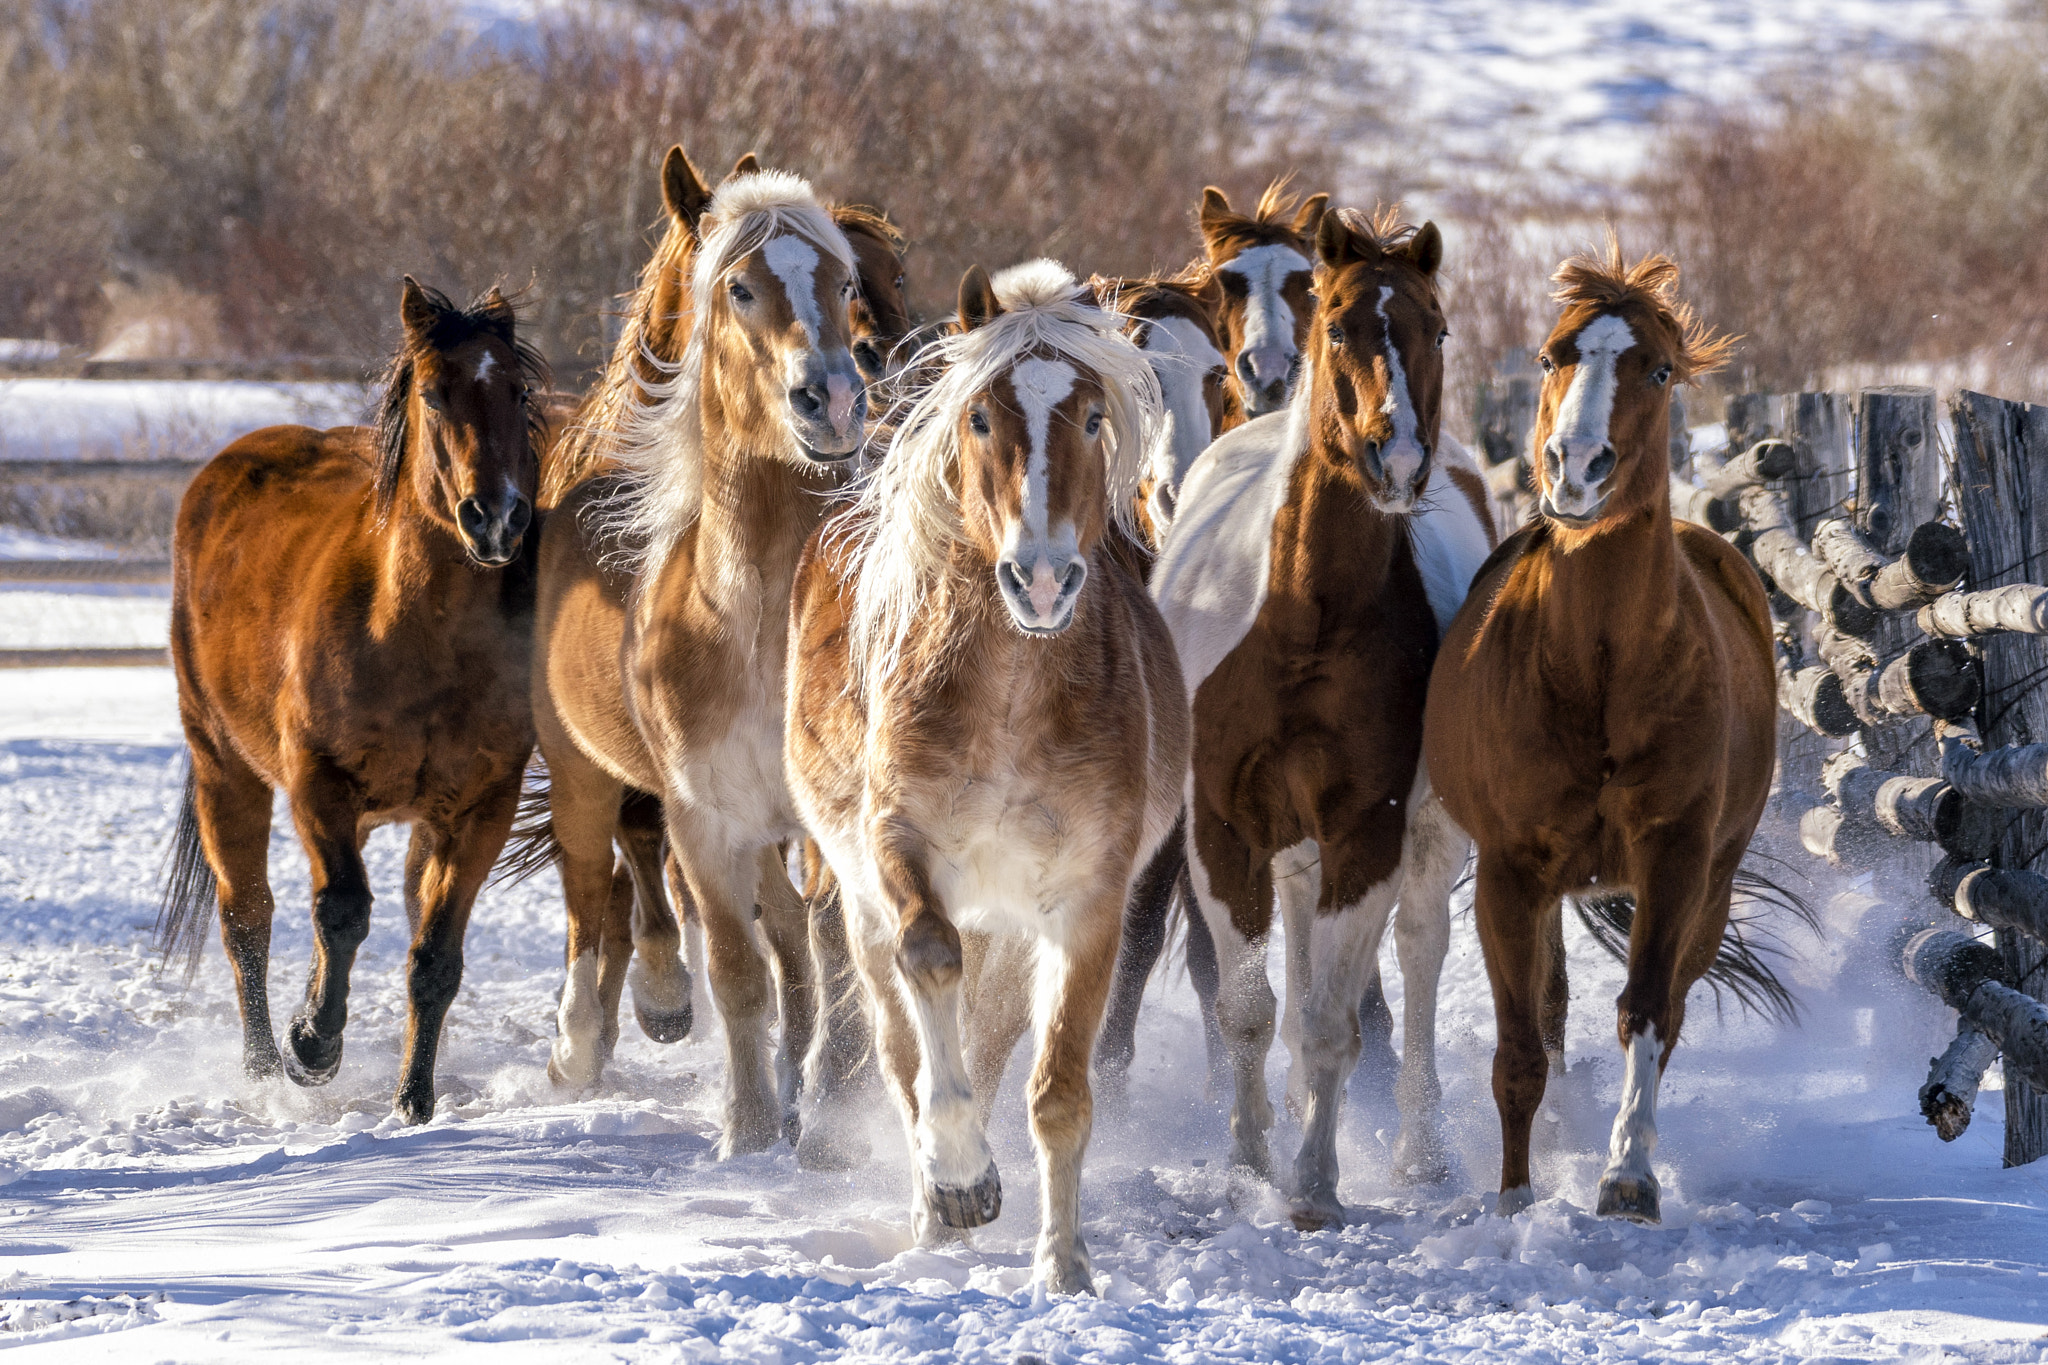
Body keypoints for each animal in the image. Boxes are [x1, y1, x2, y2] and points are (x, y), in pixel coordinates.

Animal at [158, 278, 548, 1121]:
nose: (497, 516)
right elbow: (340, 910)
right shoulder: (318, 783)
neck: (414, 635)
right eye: (433, 393)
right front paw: (313, 1044)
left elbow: (434, 956)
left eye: (518, 391)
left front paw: (413, 1102)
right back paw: (265, 1066)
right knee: (248, 918)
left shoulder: (479, 810)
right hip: (224, 768)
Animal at [782, 261, 1187, 1301]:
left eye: (1092, 416)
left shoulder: (1089, 899)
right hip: (862, 903)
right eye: (978, 418)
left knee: (995, 1041)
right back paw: (935, 1212)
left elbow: (1058, 1091)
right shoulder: (901, 846)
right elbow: (931, 980)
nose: (1039, 580)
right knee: (901, 1055)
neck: (1011, 692)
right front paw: (960, 1177)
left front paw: (1064, 1265)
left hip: (1013, 923)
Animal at [1155, 208, 1490, 1236]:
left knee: (1418, 956)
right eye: (1338, 326)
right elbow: (1249, 1010)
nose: (1399, 459)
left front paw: (1311, 1181)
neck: (1306, 611)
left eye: (1438, 329)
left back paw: (1421, 1151)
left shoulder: (1366, 828)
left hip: (1426, 834)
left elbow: (1337, 1018)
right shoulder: (1222, 826)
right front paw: (1246, 1165)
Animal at [1425, 245, 1777, 1227]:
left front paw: (1627, 1178)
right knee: (1546, 1011)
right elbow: (1520, 1042)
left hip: (1715, 879)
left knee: (1670, 1006)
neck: (1600, 673)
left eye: (1657, 369)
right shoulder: (1511, 871)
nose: (1575, 467)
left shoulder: (1675, 857)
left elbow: (1646, 1012)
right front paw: (1513, 1199)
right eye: (1553, 356)